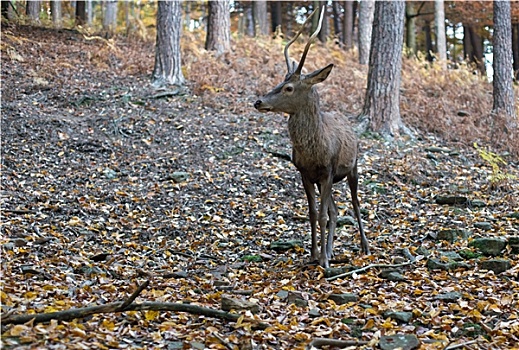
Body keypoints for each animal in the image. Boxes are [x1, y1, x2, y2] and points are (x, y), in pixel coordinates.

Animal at [255, 6, 370, 266]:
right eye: (280, 81)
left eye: (289, 88)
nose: (259, 101)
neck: (315, 151)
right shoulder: (305, 173)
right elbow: (314, 213)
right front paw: (314, 255)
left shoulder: (329, 169)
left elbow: (324, 215)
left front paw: (323, 261)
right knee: (335, 210)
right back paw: (331, 250)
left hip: (353, 167)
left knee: (355, 204)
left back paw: (364, 246)